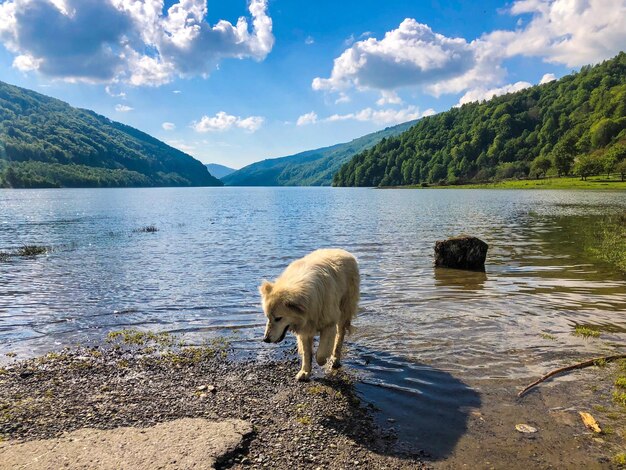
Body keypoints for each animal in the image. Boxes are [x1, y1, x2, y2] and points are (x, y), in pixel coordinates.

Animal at [258, 250, 356, 382]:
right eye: (268, 317)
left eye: (278, 318)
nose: (266, 339)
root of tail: (342, 251)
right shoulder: (304, 330)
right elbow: (306, 353)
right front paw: (304, 372)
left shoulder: (329, 324)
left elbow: (321, 353)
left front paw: (322, 361)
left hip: (344, 311)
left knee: (340, 336)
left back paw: (335, 359)